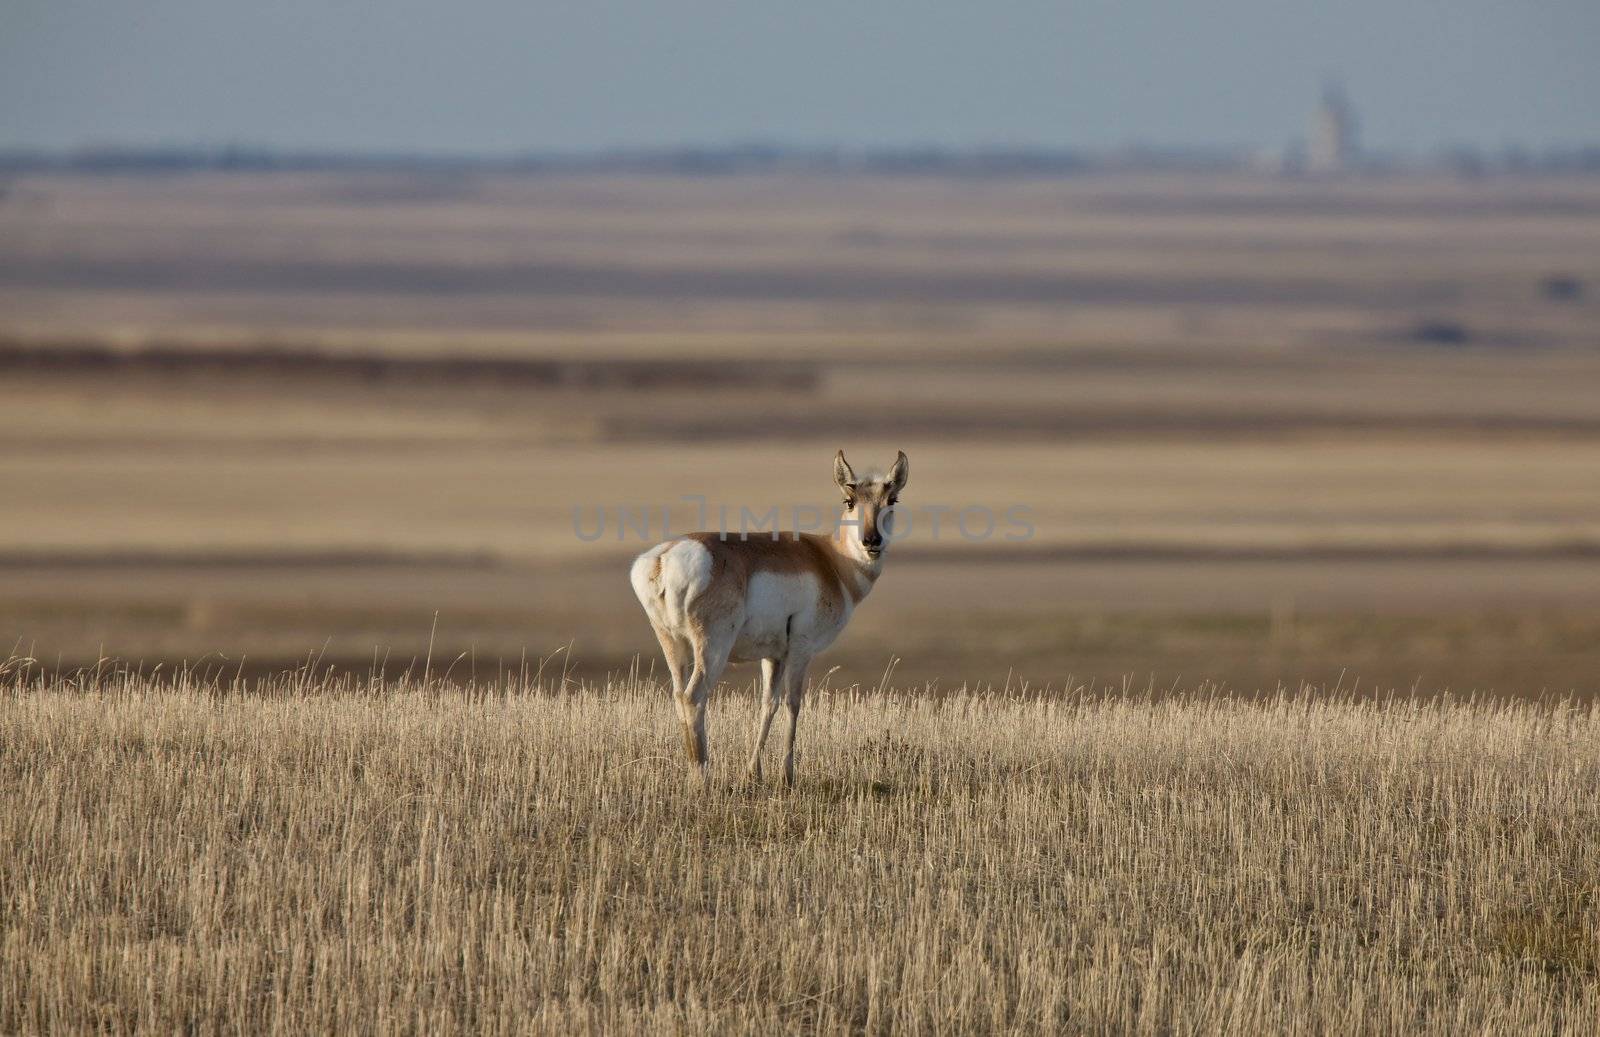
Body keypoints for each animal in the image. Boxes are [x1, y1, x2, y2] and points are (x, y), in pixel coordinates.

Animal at [627, 448, 908, 780]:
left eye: (892, 500)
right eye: (849, 500)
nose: (871, 541)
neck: (830, 560)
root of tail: (664, 557)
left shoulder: (773, 656)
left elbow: (768, 704)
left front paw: (754, 771)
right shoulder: (801, 648)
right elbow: (793, 703)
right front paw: (788, 775)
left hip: (672, 643)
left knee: (678, 695)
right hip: (712, 647)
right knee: (693, 696)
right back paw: (703, 777)